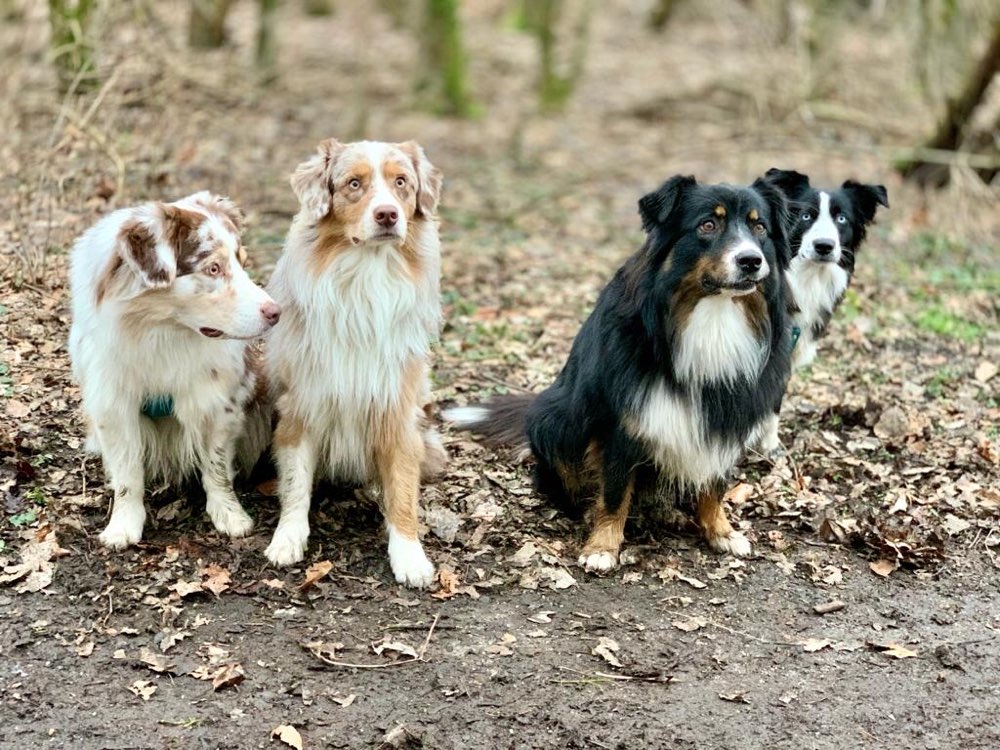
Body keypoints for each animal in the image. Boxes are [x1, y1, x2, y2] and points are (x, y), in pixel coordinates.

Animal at [69, 191, 282, 548]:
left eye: (242, 261)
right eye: (213, 268)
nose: (276, 312)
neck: (162, 333)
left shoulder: (215, 400)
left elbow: (216, 466)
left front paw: (230, 515)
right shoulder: (113, 403)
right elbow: (128, 473)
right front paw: (123, 524)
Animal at [262, 140, 446, 588]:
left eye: (402, 182)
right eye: (354, 184)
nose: (388, 214)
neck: (367, 278)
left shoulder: (396, 408)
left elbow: (402, 490)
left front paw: (409, 554)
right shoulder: (302, 404)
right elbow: (296, 483)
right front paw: (287, 538)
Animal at [450, 176, 792, 572]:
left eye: (759, 227)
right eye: (708, 225)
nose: (751, 261)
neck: (711, 317)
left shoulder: (729, 413)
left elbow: (715, 483)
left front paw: (720, 531)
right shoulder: (620, 422)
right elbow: (614, 491)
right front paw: (602, 546)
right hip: (555, 418)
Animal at [752, 168, 888, 452]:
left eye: (841, 218)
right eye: (805, 216)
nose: (824, 246)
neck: (807, 279)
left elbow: (773, 402)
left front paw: (770, 445)